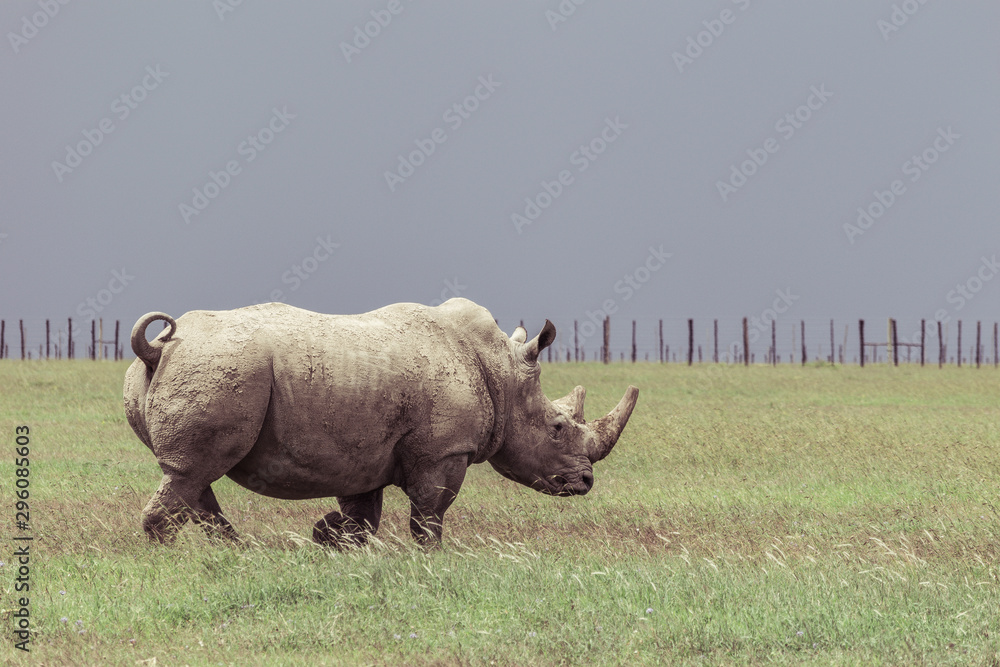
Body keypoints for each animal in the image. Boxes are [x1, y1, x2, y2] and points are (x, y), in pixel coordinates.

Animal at [123, 299, 638, 546]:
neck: (503, 374)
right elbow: (430, 514)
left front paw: (327, 538)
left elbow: (363, 517)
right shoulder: (444, 450)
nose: (585, 482)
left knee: (194, 476)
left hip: (204, 367)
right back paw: (172, 558)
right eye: (557, 428)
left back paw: (233, 550)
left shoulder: (362, 452)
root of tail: (159, 348)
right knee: (193, 471)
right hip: (220, 366)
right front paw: (430, 561)